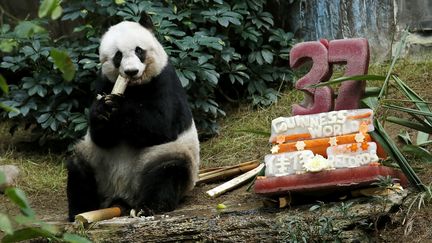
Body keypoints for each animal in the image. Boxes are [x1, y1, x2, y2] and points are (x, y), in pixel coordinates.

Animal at [66, 14, 201, 221]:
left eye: (139, 50)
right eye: (118, 55)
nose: (131, 71)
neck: (133, 87)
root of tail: (122, 196)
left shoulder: (165, 80)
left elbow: (162, 125)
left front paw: (117, 106)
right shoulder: (104, 81)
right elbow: (101, 137)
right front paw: (101, 110)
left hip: (164, 155)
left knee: (167, 172)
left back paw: (147, 207)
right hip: (96, 161)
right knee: (78, 169)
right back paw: (81, 210)